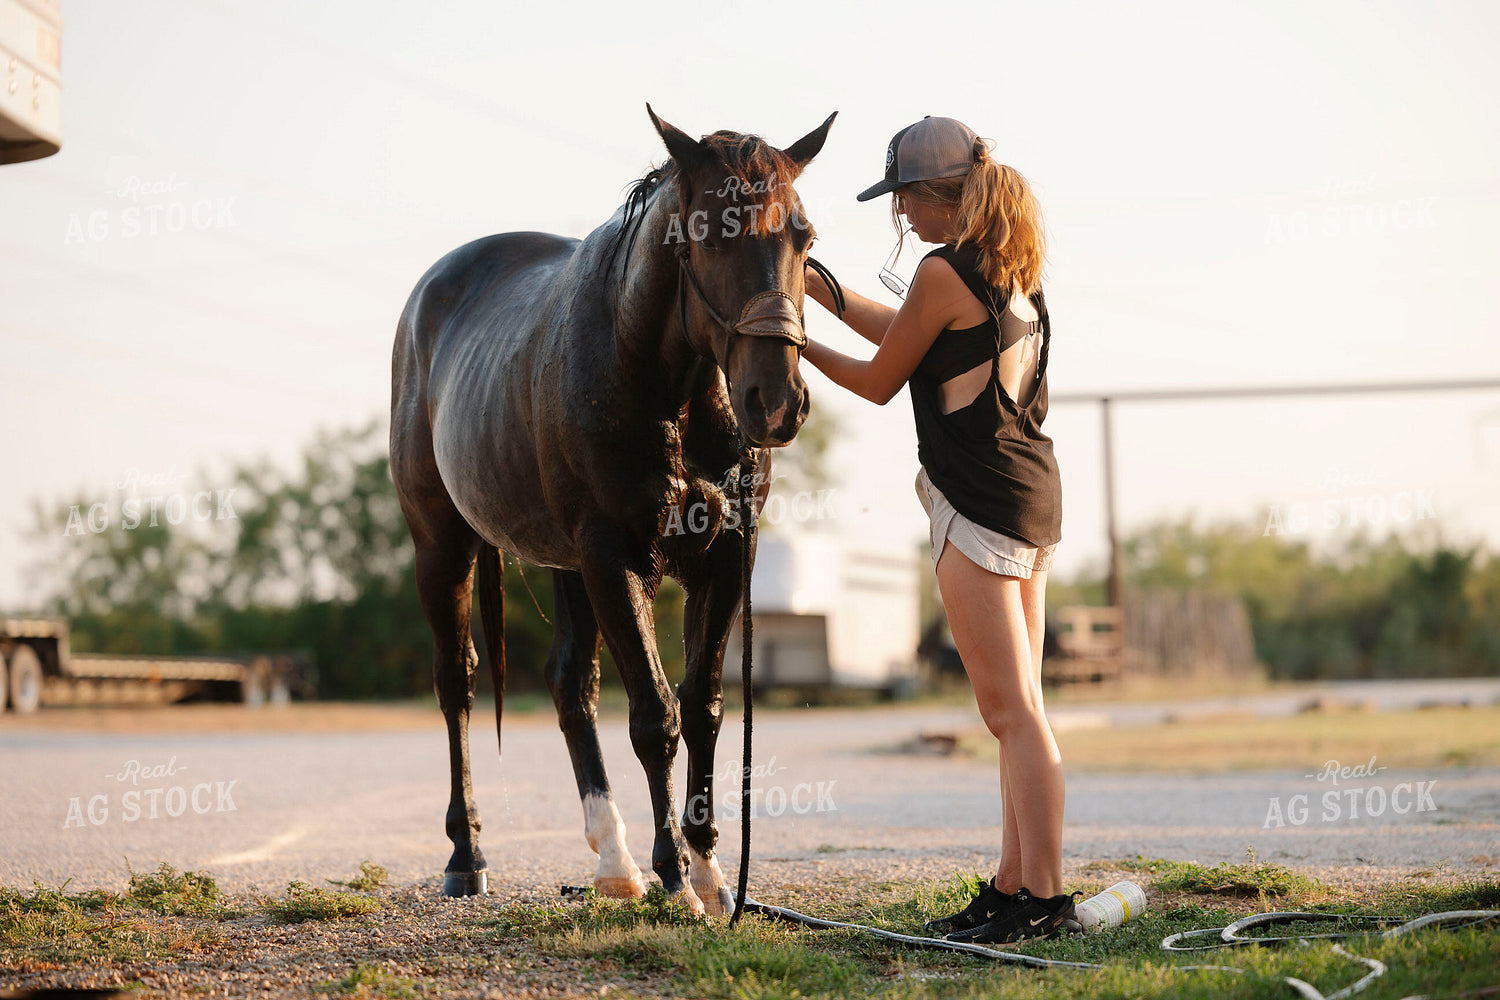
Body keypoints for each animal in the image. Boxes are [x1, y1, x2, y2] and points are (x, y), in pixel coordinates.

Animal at [389, 105, 837, 913]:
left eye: (804, 237)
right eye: (710, 234)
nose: (776, 403)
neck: (671, 391)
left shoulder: (726, 556)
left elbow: (704, 706)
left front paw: (710, 871)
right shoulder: (613, 555)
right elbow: (655, 715)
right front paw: (675, 877)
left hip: (564, 564)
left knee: (571, 686)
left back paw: (612, 861)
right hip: (443, 544)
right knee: (457, 684)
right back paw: (469, 855)